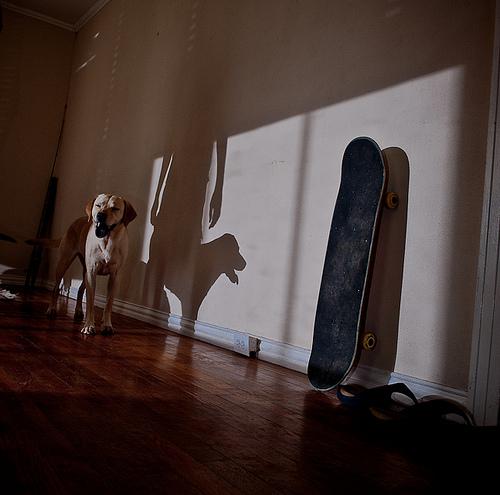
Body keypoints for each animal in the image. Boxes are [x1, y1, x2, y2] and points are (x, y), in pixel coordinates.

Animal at [46, 194, 136, 335]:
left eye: (115, 208)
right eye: (98, 205)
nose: (100, 215)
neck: (107, 241)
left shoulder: (114, 277)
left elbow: (108, 304)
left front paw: (106, 324)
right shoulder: (92, 273)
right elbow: (90, 302)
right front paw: (89, 325)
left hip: (85, 273)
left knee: (80, 290)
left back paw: (78, 310)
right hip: (64, 263)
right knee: (56, 287)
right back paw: (52, 308)